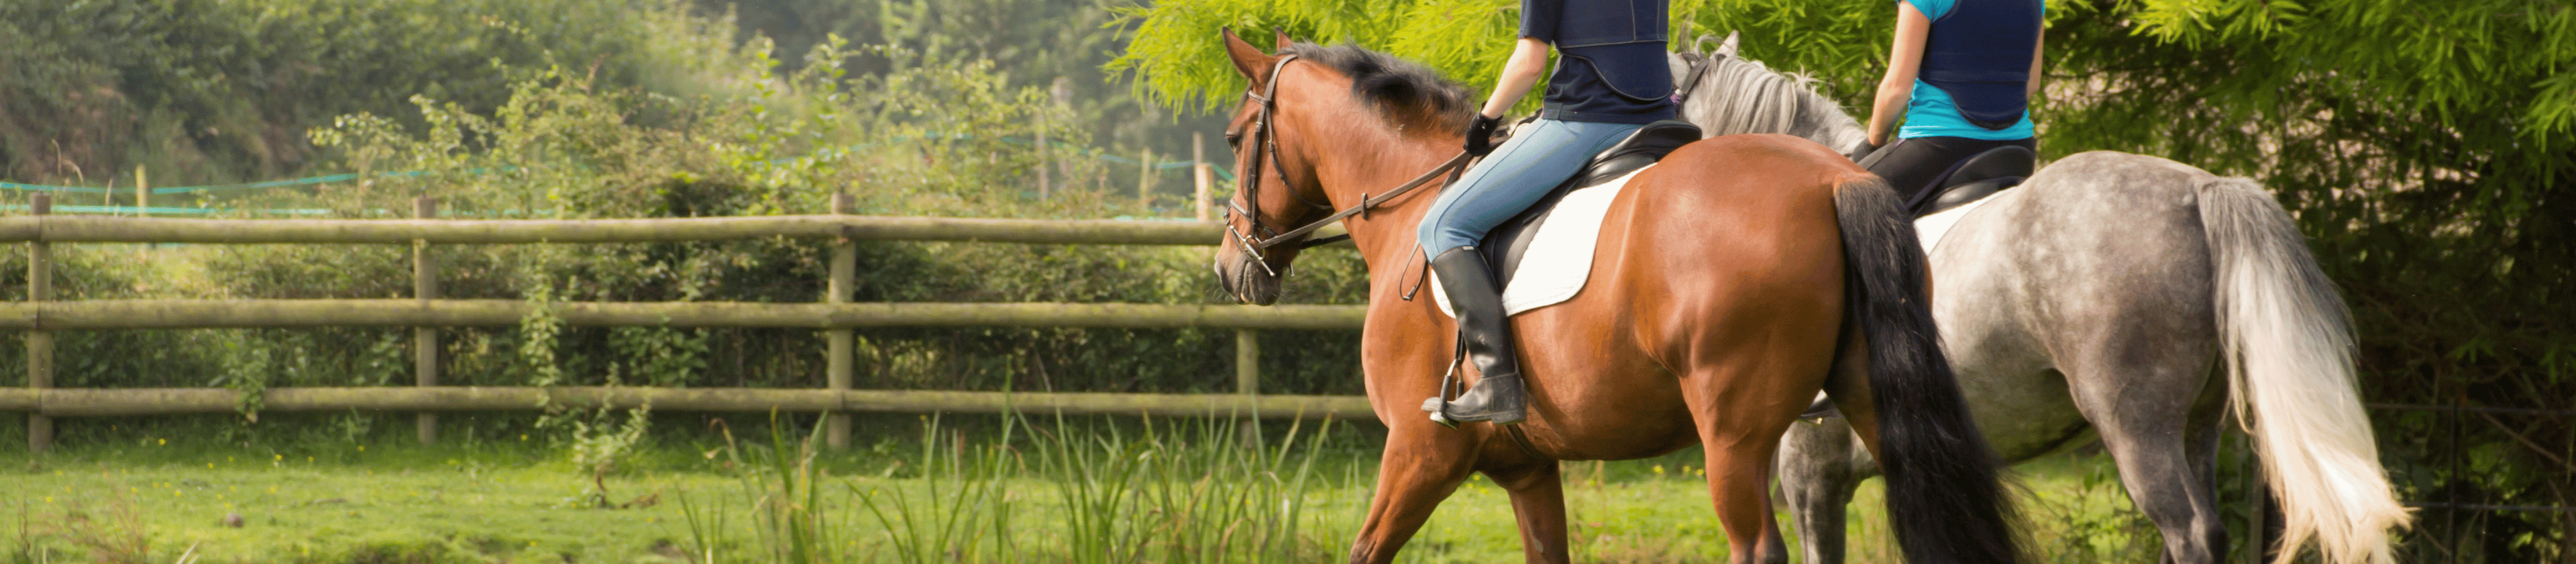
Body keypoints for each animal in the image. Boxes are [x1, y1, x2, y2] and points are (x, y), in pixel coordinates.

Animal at [1205, 29, 2023, 564]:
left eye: (1237, 137)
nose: (1230, 268)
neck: (1414, 206)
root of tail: (1834, 180)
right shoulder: (1528, 469)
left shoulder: (1419, 451)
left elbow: (1366, 548)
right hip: (1870, 403)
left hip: (1734, 436)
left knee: (1757, 546)